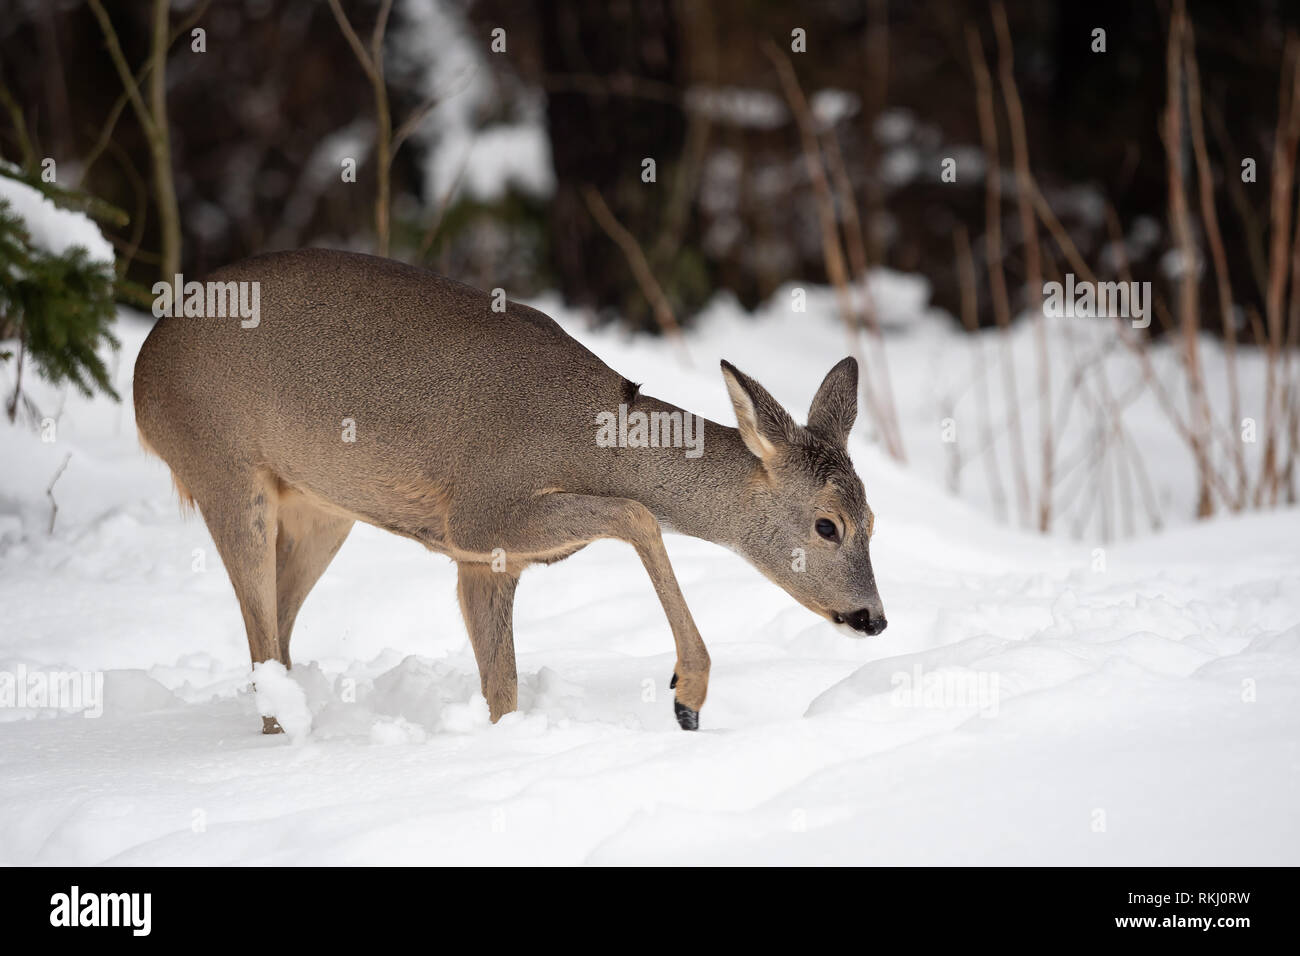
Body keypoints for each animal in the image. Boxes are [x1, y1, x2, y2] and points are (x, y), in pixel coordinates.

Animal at [133, 249, 887, 733]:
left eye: (875, 518)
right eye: (828, 525)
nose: (873, 618)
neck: (592, 438)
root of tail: (142, 367)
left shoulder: (487, 561)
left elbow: (503, 685)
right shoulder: (479, 515)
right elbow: (638, 514)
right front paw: (688, 694)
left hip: (322, 510)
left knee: (280, 637)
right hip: (223, 466)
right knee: (261, 642)